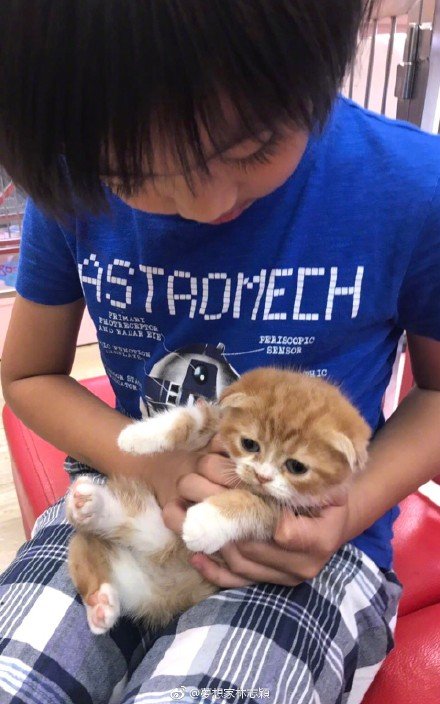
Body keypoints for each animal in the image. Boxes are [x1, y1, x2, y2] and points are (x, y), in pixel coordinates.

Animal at [66, 367, 371, 635]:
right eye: (250, 444)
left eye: (296, 467)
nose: (261, 476)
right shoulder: (217, 425)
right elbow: (194, 417)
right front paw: (140, 435)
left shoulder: (292, 510)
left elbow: (252, 504)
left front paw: (204, 522)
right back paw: (87, 508)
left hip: (143, 574)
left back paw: (99, 595)